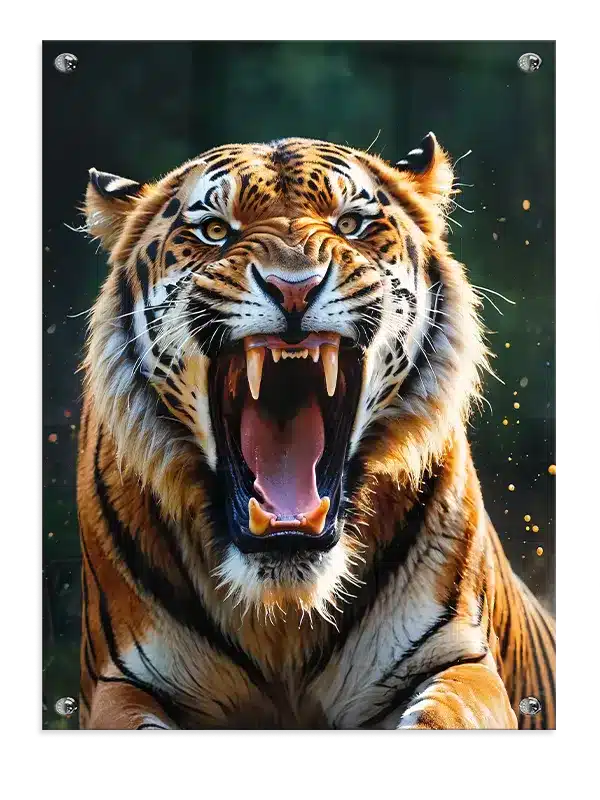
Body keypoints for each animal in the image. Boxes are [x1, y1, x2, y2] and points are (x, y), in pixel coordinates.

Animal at [77, 133, 556, 731]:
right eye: (215, 231)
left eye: (350, 223)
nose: (294, 288)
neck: (282, 615)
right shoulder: (123, 683)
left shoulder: (457, 661)